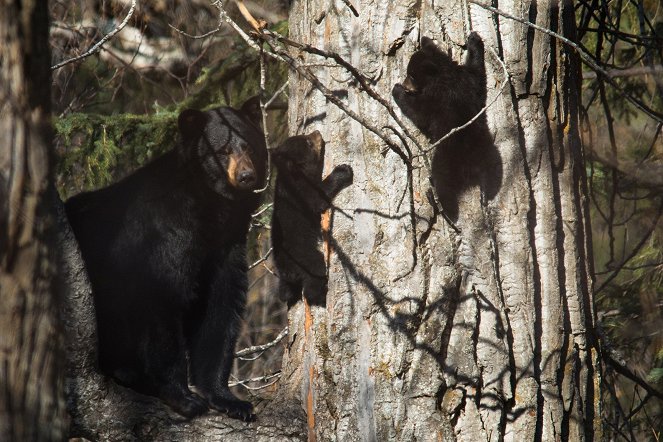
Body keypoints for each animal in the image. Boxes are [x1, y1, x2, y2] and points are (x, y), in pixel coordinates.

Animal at [65, 97, 268, 422]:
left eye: (248, 145)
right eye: (222, 150)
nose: (246, 176)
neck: (210, 212)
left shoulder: (225, 245)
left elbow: (221, 305)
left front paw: (230, 400)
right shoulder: (164, 235)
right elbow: (163, 301)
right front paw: (184, 398)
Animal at [272, 129, 352, 306]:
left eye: (304, 136)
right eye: (308, 142)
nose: (316, 131)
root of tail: (286, 270)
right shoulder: (300, 192)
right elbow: (318, 197)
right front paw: (343, 170)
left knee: (285, 290)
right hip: (305, 257)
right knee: (315, 275)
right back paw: (321, 296)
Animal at [392, 32, 500, 223]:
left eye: (411, 75)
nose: (405, 86)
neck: (444, 74)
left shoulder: (437, 98)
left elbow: (419, 113)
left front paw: (397, 91)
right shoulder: (468, 80)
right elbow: (478, 72)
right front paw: (474, 40)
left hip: (447, 157)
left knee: (443, 182)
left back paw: (439, 203)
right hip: (490, 153)